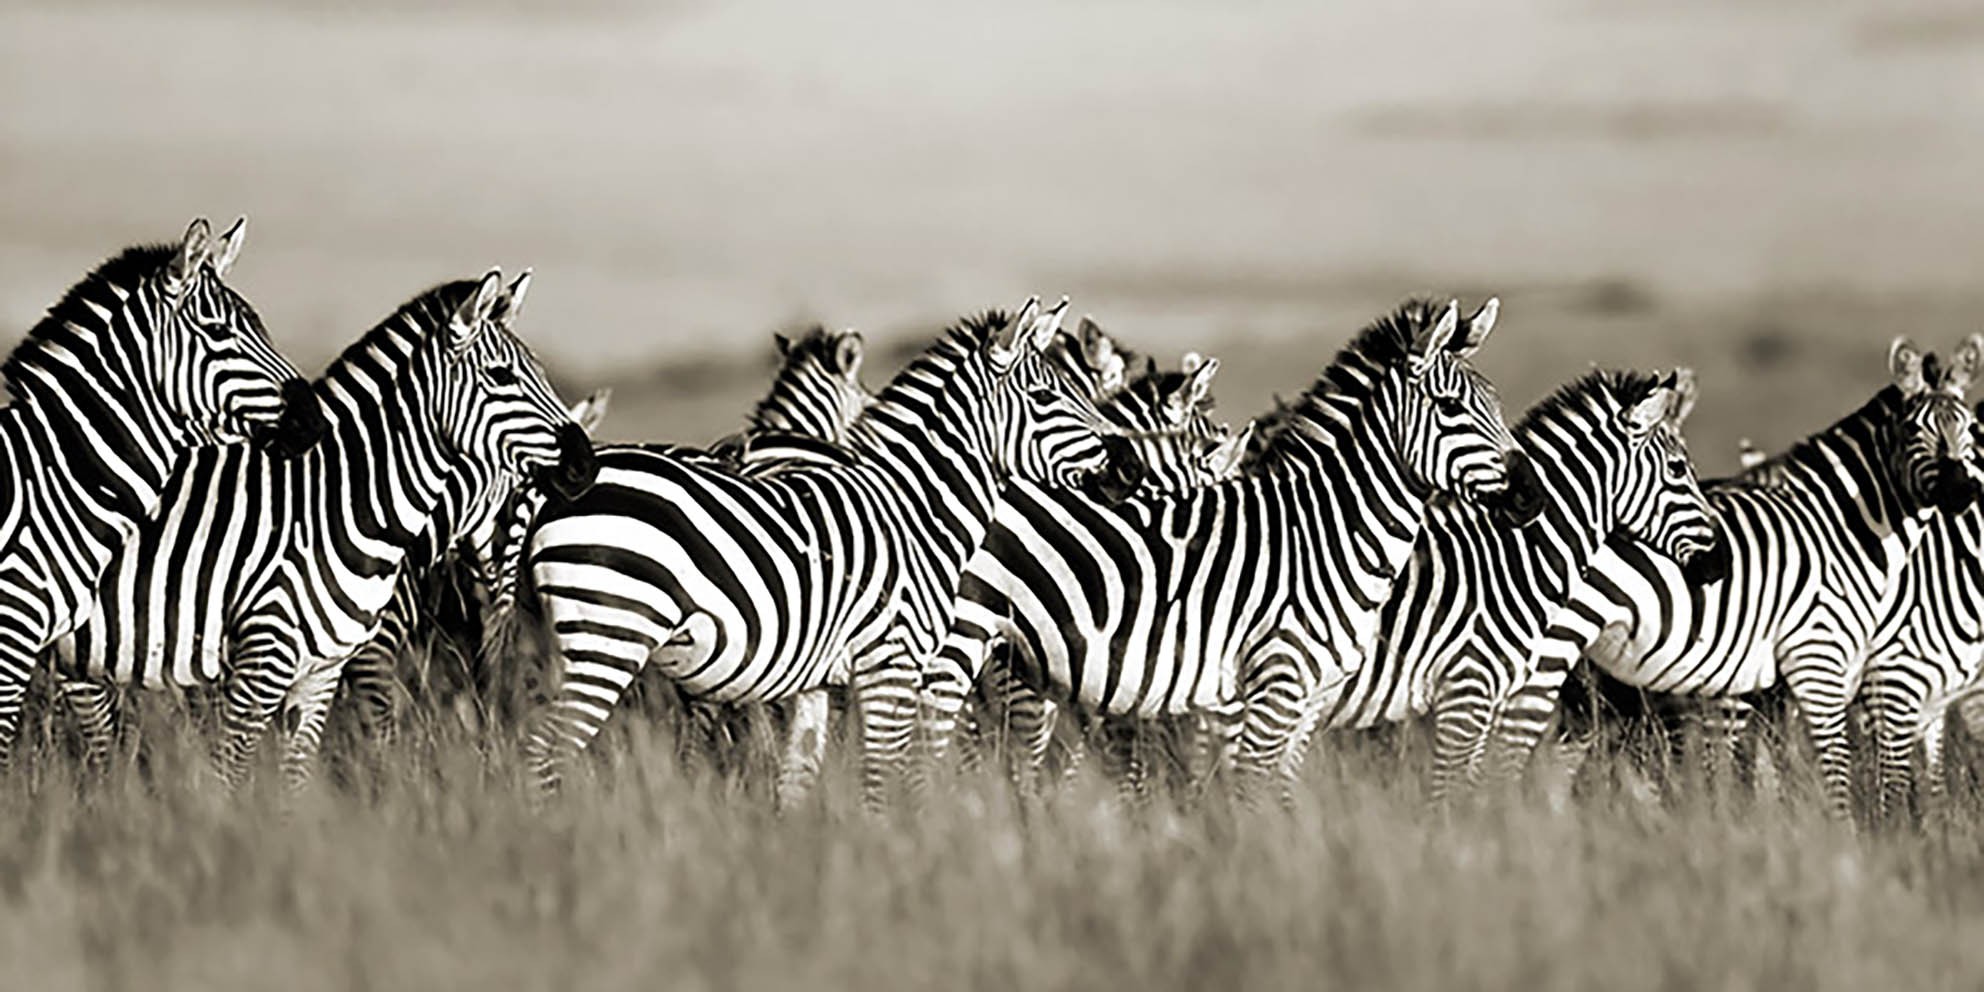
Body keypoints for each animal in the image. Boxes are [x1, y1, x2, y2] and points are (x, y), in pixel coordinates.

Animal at [56, 269, 598, 791]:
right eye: (501, 376)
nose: (585, 467)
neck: (344, 499)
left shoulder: (321, 663)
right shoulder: (338, 656)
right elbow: (370, 738)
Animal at [515, 297, 1149, 809]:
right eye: (1046, 396)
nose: (1132, 467)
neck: (916, 509)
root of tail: (560, 488)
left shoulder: (816, 682)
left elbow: (798, 779)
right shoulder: (892, 662)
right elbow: (882, 778)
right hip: (609, 636)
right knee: (546, 750)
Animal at [925, 297, 1546, 805]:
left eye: (1495, 402)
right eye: (1449, 406)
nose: (1533, 496)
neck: (1329, 531)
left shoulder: (1304, 699)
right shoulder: (1264, 688)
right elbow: (1247, 790)